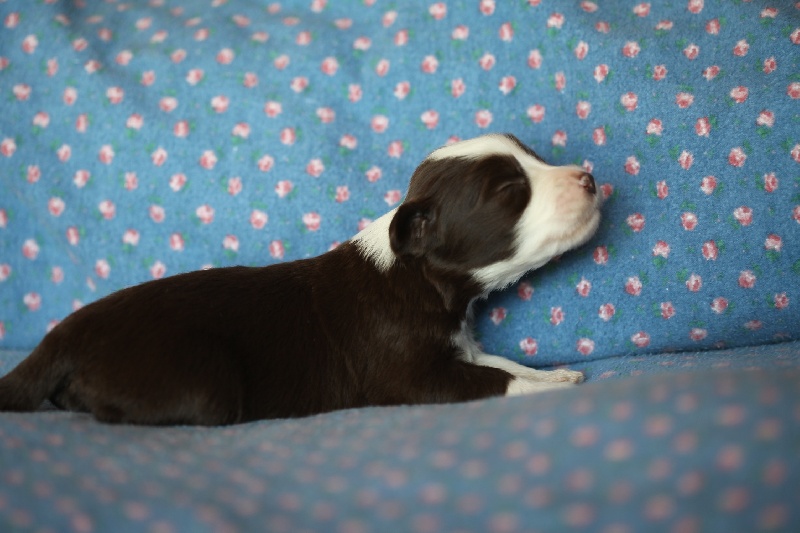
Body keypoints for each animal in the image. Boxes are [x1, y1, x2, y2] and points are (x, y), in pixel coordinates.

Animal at [0, 134, 602, 425]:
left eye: (535, 157)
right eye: (508, 192)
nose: (590, 179)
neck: (414, 275)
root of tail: (61, 336)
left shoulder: (459, 347)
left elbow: (499, 363)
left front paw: (554, 374)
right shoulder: (409, 378)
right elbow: (495, 381)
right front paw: (546, 389)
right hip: (199, 381)